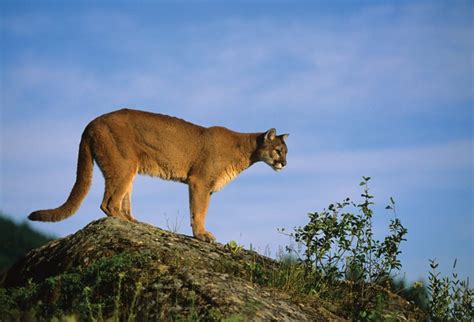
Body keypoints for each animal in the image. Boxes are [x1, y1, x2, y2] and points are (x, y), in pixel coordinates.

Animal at [30, 108, 288, 242]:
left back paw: (136, 222)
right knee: (108, 203)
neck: (245, 150)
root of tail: (91, 122)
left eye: (286, 152)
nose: (285, 163)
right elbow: (198, 211)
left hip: (128, 170)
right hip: (123, 166)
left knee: (120, 201)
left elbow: (200, 210)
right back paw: (129, 224)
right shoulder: (199, 182)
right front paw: (202, 235)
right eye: (278, 150)